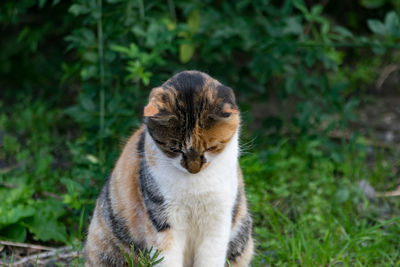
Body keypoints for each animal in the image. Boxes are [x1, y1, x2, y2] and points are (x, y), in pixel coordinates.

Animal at [84, 70, 253, 266]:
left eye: (211, 147)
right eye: (174, 149)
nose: (193, 169)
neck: (195, 185)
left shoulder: (219, 217)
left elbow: (211, 257)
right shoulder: (162, 219)